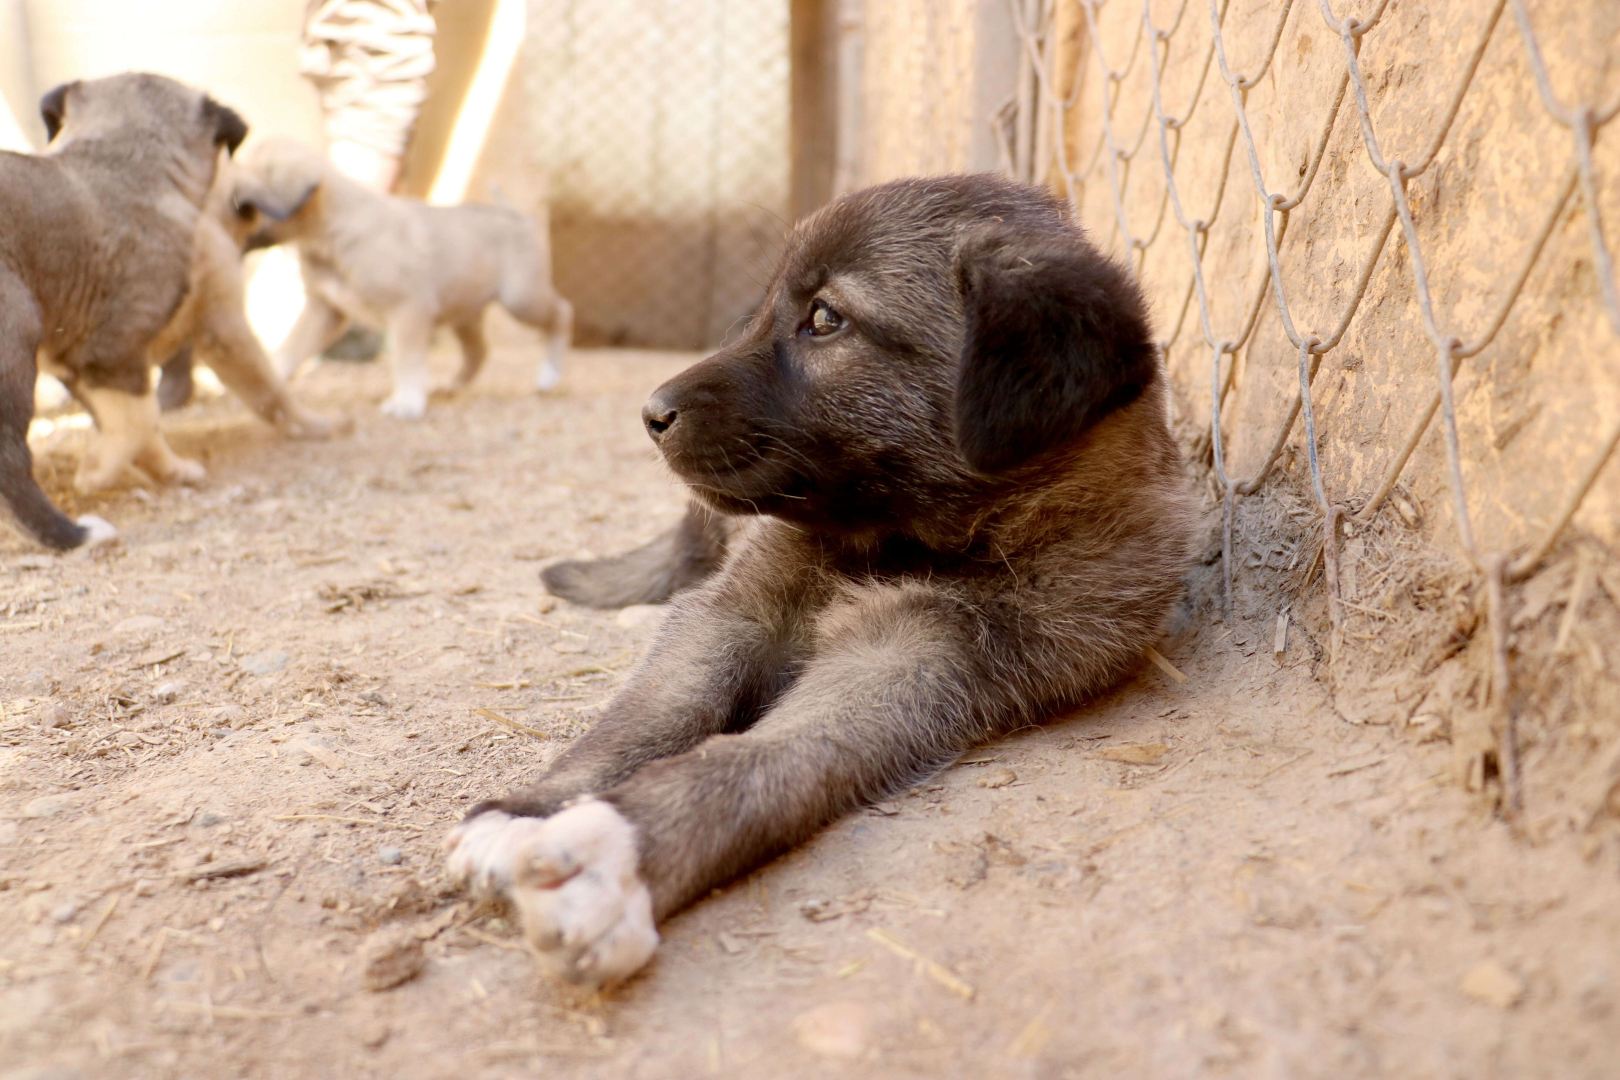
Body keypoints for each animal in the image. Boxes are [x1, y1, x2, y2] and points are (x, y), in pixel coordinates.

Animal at [0, 74, 246, 550]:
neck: (122, 162)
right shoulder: (115, 354)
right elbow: (139, 421)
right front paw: (97, 471)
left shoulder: (81, 364)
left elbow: (141, 429)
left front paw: (172, 472)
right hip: (16, 341)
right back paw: (74, 535)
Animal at [231, 139, 573, 417]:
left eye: (241, 203)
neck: (330, 233)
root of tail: (517, 215)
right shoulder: (324, 311)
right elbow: (289, 349)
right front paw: (265, 387)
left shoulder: (408, 311)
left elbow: (407, 359)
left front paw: (407, 402)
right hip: (465, 313)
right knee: (478, 351)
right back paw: (454, 386)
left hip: (522, 299)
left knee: (562, 313)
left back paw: (549, 375)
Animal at [450, 175, 1198, 990]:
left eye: (826, 319)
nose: (651, 414)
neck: (899, 542)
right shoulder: (731, 611)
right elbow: (649, 715)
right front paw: (529, 810)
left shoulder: (919, 658)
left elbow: (758, 759)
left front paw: (620, 853)